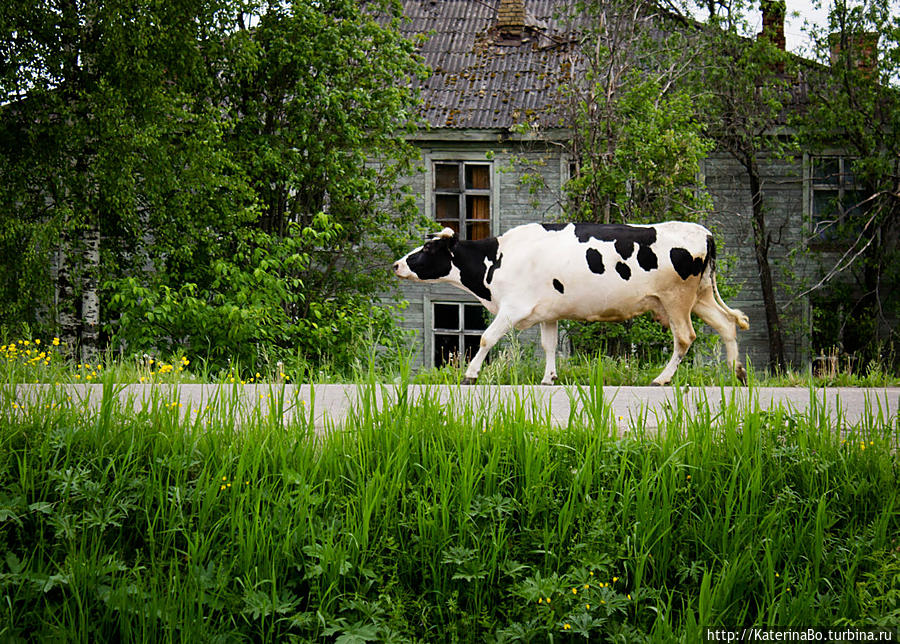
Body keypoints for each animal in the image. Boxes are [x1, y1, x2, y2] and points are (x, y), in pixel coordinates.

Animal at [390, 221, 748, 384]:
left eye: (427, 249)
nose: (396, 264)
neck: (497, 260)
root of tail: (702, 232)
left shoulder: (512, 308)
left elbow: (486, 338)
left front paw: (470, 374)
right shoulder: (548, 312)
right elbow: (549, 345)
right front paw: (549, 378)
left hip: (676, 301)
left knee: (685, 338)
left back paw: (662, 379)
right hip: (700, 297)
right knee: (727, 324)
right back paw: (738, 374)